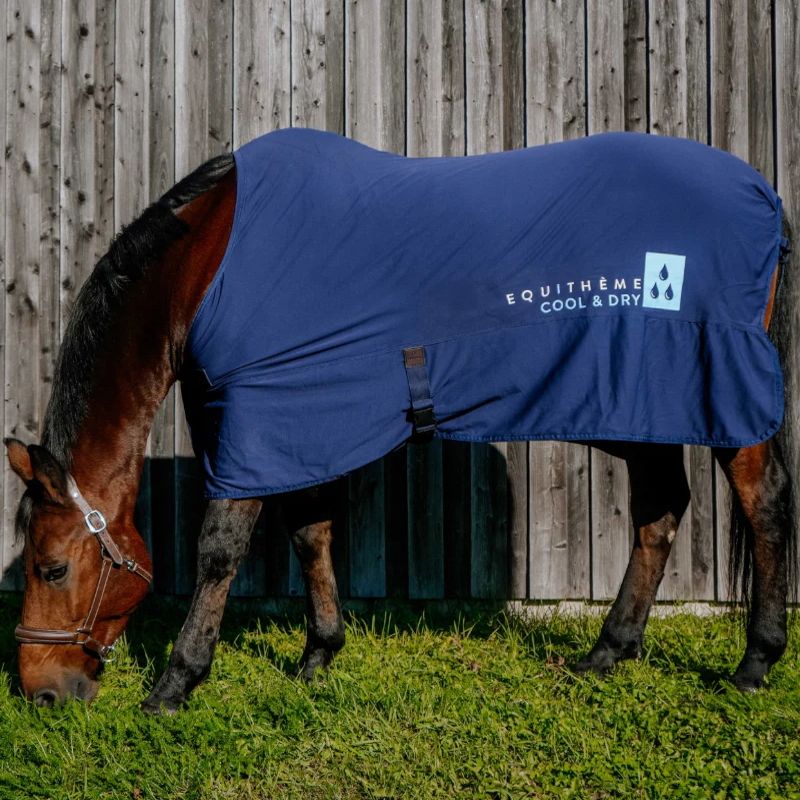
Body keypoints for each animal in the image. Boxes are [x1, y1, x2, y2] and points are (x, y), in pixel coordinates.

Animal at [4, 128, 795, 711]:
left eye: (52, 566)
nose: (42, 695)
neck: (209, 265)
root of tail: (760, 191)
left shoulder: (260, 420)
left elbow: (220, 549)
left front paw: (176, 683)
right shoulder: (296, 415)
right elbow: (311, 533)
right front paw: (318, 656)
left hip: (714, 390)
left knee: (763, 502)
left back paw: (754, 662)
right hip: (642, 400)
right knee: (661, 511)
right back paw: (605, 653)